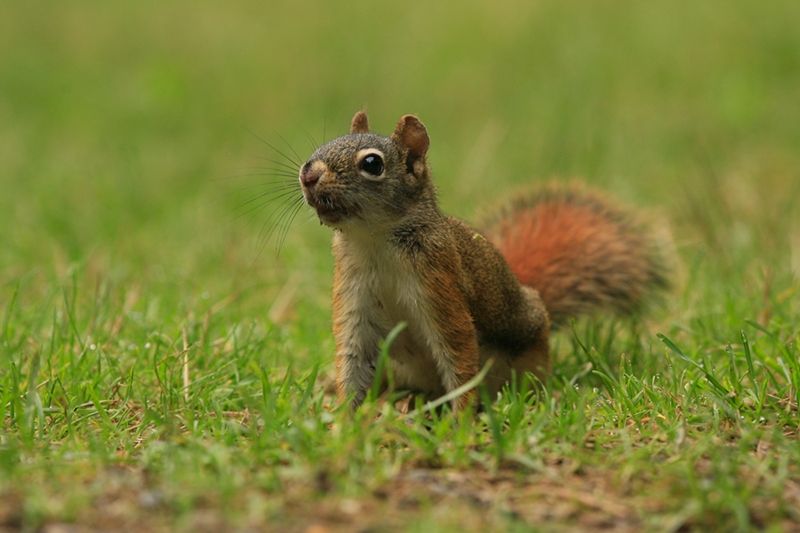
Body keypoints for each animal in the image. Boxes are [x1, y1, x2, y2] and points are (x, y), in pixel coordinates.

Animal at [296, 111, 664, 412]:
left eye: (372, 164)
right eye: (327, 144)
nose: (308, 174)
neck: (375, 243)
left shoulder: (440, 287)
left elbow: (458, 357)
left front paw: (460, 423)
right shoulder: (353, 300)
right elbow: (353, 360)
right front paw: (343, 422)